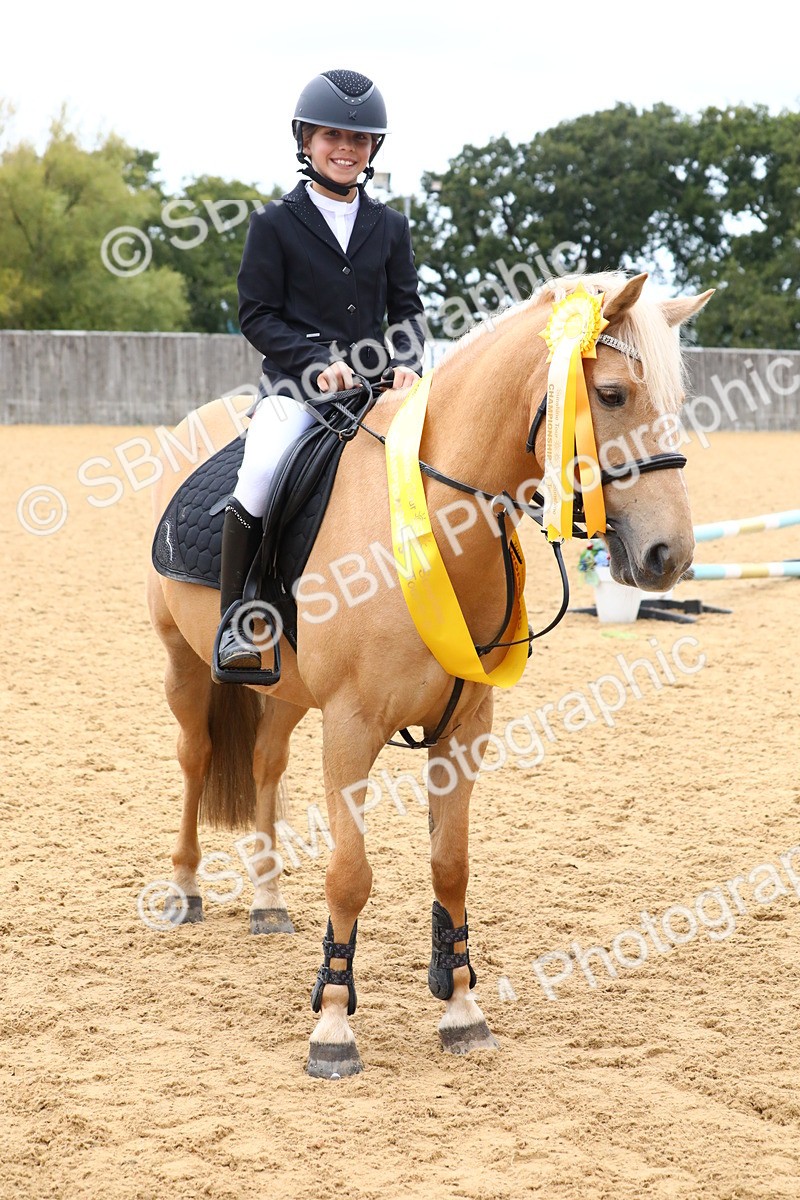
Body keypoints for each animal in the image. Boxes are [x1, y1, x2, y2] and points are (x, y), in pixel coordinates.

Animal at [146, 270, 712, 1077]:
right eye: (609, 395)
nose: (672, 555)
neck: (437, 521)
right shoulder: (351, 727)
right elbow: (350, 875)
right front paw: (332, 1025)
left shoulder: (464, 729)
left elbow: (452, 867)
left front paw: (462, 1010)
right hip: (183, 663)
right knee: (195, 758)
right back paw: (184, 890)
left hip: (284, 692)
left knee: (262, 763)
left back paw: (266, 900)